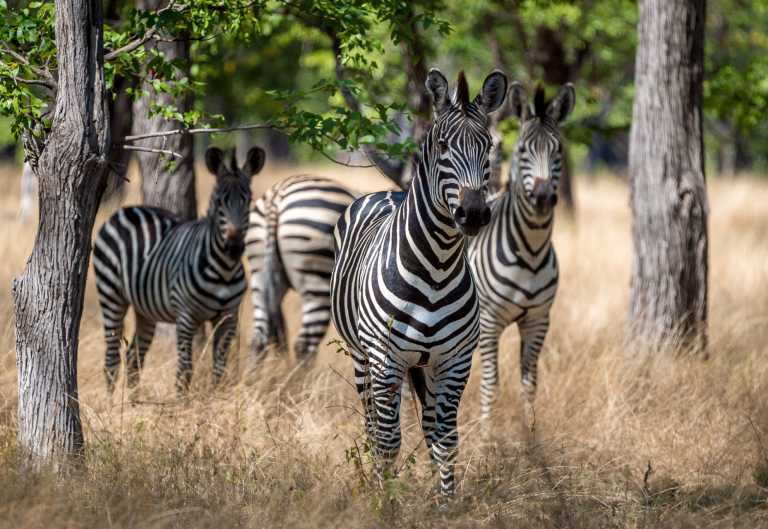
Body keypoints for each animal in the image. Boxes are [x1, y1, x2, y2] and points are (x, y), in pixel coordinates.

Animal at [93, 146, 265, 393]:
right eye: (219, 202)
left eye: (248, 201)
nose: (234, 247)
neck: (224, 271)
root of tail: (125, 210)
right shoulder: (186, 317)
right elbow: (185, 371)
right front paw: (183, 400)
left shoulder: (228, 318)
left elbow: (219, 369)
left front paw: (215, 396)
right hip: (111, 295)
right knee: (111, 360)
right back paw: (111, 402)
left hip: (145, 309)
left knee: (134, 356)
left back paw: (133, 401)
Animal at [331, 69, 508, 496]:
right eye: (443, 146)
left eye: (488, 146)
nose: (474, 214)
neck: (437, 266)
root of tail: (387, 191)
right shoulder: (384, 358)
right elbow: (388, 440)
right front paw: (385, 501)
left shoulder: (455, 360)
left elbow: (445, 439)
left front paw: (446, 502)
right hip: (363, 358)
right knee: (373, 425)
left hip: (424, 366)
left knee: (427, 424)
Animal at [467, 82, 575, 428]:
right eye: (523, 151)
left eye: (558, 151)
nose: (541, 198)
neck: (530, 251)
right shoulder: (489, 320)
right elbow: (491, 385)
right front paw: (487, 434)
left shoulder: (538, 320)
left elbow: (530, 385)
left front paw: (531, 433)